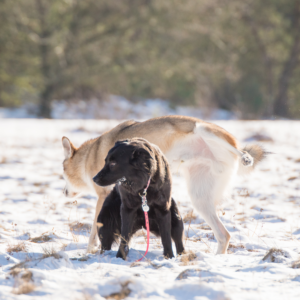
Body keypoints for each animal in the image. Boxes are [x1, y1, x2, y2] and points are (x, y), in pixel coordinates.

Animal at [61, 116, 264, 254]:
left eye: (62, 172)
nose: (64, 192)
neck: (89, 156)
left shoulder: (103, 198)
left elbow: (95, 226)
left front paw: (90, 249)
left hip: (202, 128)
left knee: (236, 149)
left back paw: (246, 157)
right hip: (200, 200)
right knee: (224, 235)